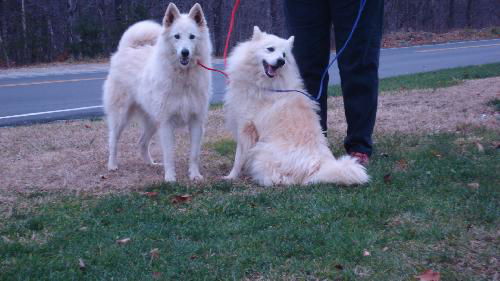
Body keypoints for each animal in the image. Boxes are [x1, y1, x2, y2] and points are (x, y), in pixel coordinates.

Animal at [102, 2, 212, 180]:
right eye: (176, 36)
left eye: (192, 37)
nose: (185, 52)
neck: (183, 77)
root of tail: (127, 49)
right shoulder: (166, 123)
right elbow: (169, 155)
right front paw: (170, 178)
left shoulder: (196, 121)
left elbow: (194, 154)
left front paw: (195, 175)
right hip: (120, 117)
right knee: (113, 141)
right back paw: (112, 165)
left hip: (152, 120)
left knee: (141, 143)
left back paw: (151, 164)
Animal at [223, 25, 368, 184]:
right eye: (270, 49)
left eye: (284, 55)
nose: (281, 61)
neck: (264, 84)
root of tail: (320, 165)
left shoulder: (245, 127)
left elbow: (238, 157)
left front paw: (231, 176)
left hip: (262, 152)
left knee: (284, 178)